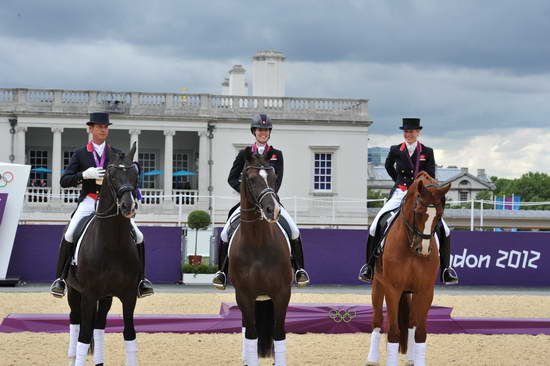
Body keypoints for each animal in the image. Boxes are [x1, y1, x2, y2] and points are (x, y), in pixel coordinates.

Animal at [65, 143, 142, 366]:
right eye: (112, 175)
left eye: (135, 174)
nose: (128, 206)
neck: (112, 244)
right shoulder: (89, 295)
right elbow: (83, 337)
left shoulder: (128, 296)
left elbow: (129, 335)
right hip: (74, 292)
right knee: (75, 323)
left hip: (106, 296)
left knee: (98, 327)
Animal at [230, 147, 296, 366]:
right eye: (250, 179)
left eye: (274, 177)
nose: (272, 210)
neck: (257, 243)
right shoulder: (243, 295)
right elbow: (251, 335)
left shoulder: (282, 293)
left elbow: (279, 334)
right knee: (246, 328)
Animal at [366, 172, 452, 366]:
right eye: (418, 212)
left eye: (439, 214)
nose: (424, 249)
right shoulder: (393, 289)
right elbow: (393, 332)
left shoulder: (426, 291)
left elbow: (420, 333)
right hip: (378, 285)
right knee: (376, 321)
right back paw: (372, 359)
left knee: (412, 323)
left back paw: (411, 358)